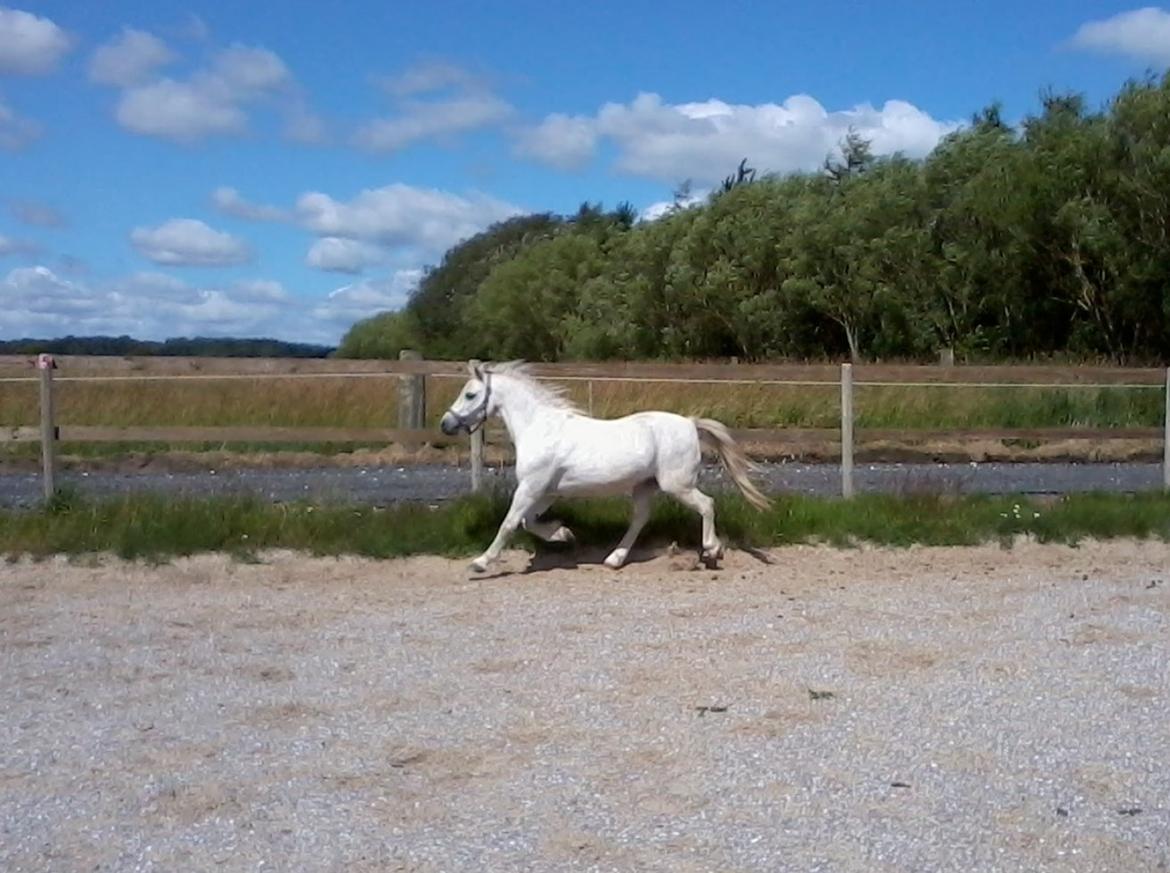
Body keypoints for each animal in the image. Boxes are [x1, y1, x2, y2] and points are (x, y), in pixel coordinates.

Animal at [439, 358, 767, 571]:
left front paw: (481, 562)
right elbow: (527, 522)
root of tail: (689, 422)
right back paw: (614, 559)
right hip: (644, 485)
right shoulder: (545, 491)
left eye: (470, 394)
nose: (445, 424)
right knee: (640, 519)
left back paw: (712, 550)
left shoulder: (531, 487)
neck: (539, 427)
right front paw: (563, 534)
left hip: (677, 484)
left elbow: (509, 523)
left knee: (706, 505)